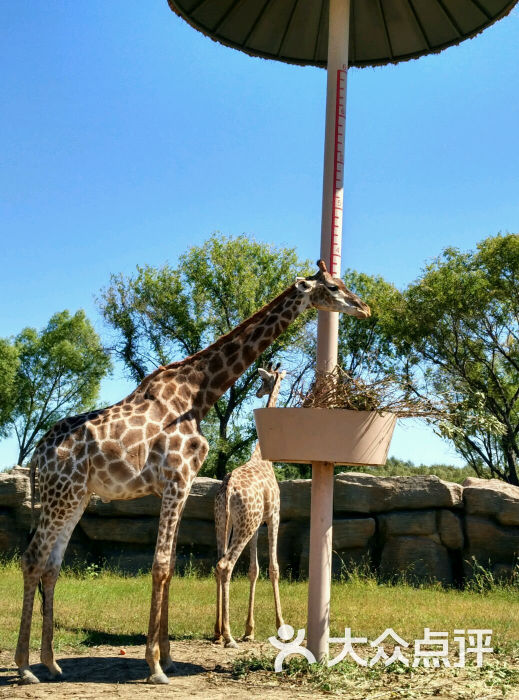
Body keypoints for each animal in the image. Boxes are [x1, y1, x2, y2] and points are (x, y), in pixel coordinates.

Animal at [215, 364, 288, 648]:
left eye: (263, 382)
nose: (257, 392)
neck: (262, 457)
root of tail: (229, 489)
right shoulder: (273, 516)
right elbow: (274, 568)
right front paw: (281, 627)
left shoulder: (257, 525)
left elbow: (253, 570)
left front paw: (249, 629)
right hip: (244, 525)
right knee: (225, 565)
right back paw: (227, 636)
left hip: (224, 522)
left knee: (218, 563)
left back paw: (218, 632)